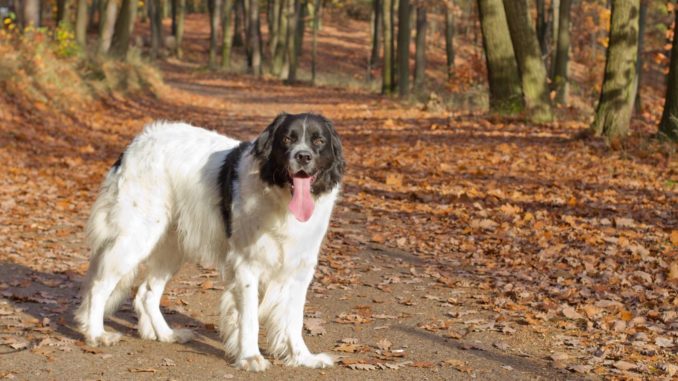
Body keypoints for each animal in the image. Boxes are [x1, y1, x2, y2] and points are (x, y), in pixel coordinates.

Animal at [75, 111, 346, 370]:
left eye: (319, 141)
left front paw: (303, 357)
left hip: (172, 246)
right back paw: (96, 334)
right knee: (99, 285)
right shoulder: (247, 266)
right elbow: (249, 318)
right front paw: (250, 357)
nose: (303, 156)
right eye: (287, 139)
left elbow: (294, 320)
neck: (280, 197)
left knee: (146, 292)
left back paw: (166, 334)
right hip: (136, 236)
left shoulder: (300, 269)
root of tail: (136, 143)